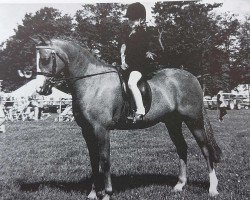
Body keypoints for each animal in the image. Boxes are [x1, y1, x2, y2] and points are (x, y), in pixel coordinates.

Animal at [30, 36, 221, 199]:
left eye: (45, 59)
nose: (40, 90)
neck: (92, 83)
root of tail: (192, 78)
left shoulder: (101, 130)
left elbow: (104, 160)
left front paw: (107, 194)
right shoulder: (87, 131)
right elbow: (93, 161)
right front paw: (93, 193)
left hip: (194, 121)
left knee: (205, 150)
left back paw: (212, 188)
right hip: (172, 123)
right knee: (182, 148)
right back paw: (180, 185)